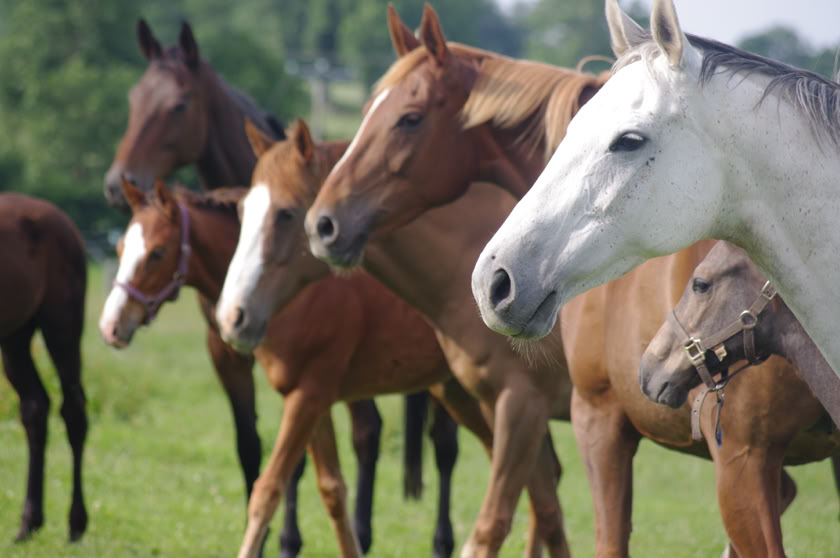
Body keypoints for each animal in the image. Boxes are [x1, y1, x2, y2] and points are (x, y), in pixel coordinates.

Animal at [0, 193, 88, 542]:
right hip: (14, 336)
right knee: (35, 407)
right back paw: (30, 521)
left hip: (61, 325)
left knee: (73, 410)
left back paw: (76, 523)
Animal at [98, 177, 488, 558]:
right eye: (120, 250)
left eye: (157, 253)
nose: (110, 326)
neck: (292, 292)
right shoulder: (314, 398)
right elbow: (332, 489)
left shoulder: (308, 395)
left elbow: (269, 488)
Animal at [103, 19, 449, 556]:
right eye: (134, 97)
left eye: (179, 104)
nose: (110, 323)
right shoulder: (240, 363)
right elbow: (265, 457)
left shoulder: (311, 383)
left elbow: (288, 472)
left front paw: (286, 539)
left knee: (437, 447)